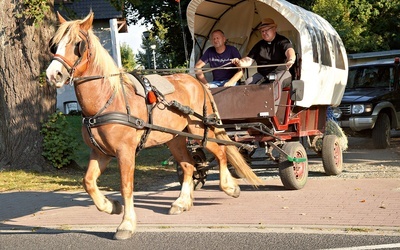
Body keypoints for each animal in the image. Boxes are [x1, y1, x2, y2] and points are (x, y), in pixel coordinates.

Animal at [46, 12, 262, 240]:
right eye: (55, 44)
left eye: (77, 44)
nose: (53, 74)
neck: (108, 99)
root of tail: (197, 82)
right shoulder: (100, 152)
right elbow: (88, 182)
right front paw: (111, 206)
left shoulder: (125, 152)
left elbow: (126, 186)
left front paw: (126, 224)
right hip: (175, 138)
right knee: (188, 165)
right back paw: (182, 202)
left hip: (200, 130)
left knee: (220, 153)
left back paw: (229, 187)